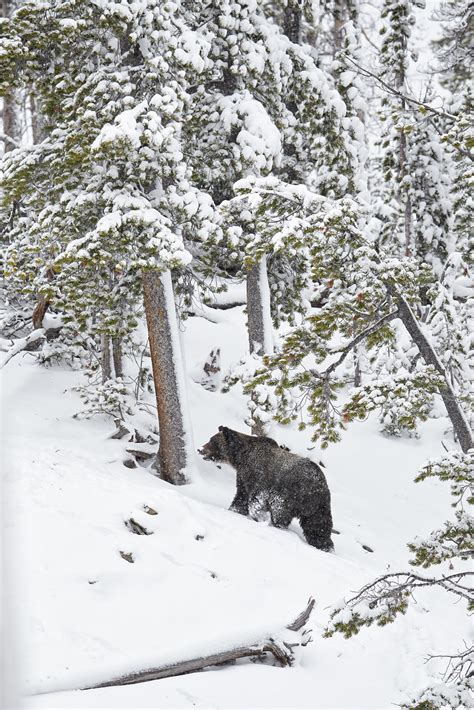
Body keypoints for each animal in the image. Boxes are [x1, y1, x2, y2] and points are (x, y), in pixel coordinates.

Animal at [199, 426, 334, 552]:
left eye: (212, 441)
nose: (200, 449)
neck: (241, 458)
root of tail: (319, 485)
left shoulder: (260, 476)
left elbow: (256, 499)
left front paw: (256, 515)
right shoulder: (243, 478)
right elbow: (241, 497)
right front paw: (235, 510)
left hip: (289, 495)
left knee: (281, 513)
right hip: (319, 506)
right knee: (318, 525)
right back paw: (325, 545)